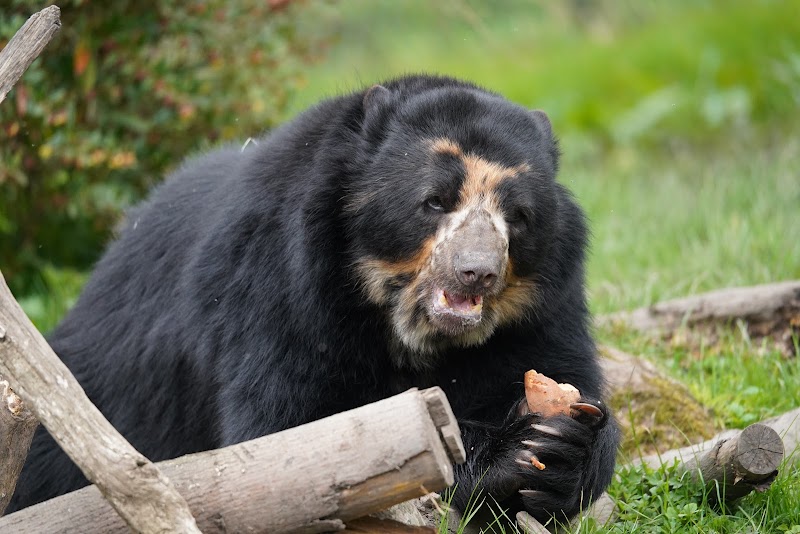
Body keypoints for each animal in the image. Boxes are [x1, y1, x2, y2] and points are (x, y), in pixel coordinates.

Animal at [8, 74, 619, 524]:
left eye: (518, 216)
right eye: (434, 201)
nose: (477, 273)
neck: (406, 327)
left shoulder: (544, 308)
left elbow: (556, 368)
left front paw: (562, 445)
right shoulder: (278, 286)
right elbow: (294, 433)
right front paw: (510, 449)